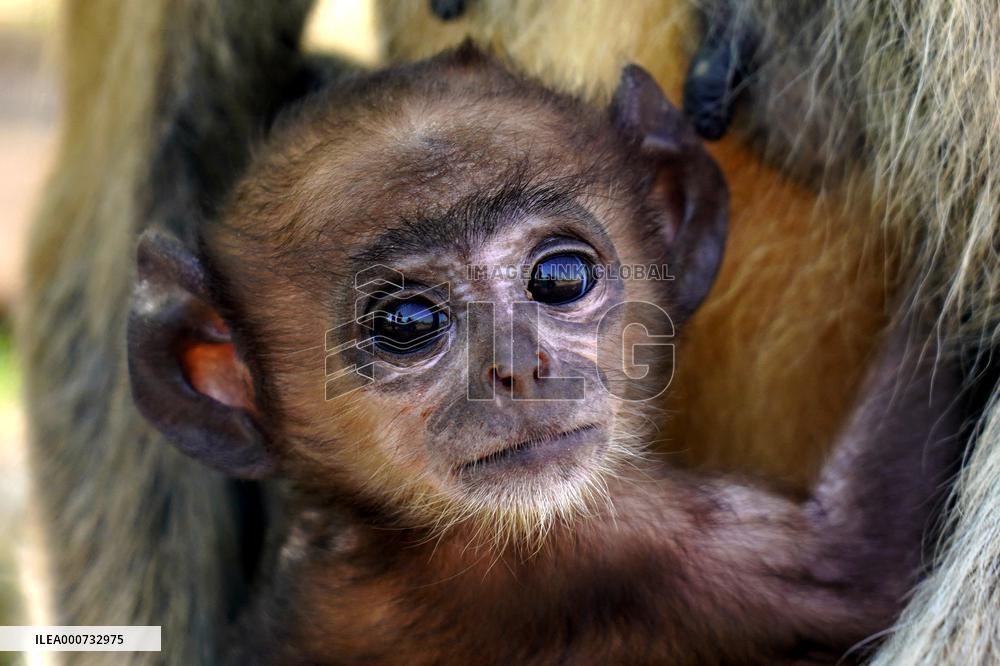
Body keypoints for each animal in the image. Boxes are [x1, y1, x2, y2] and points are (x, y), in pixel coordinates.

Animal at [20, 1, 995, 664]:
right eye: (408, 324)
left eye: (560, 279)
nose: (521, 370)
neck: (384, 532)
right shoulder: (600, 544)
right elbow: (864, 556)